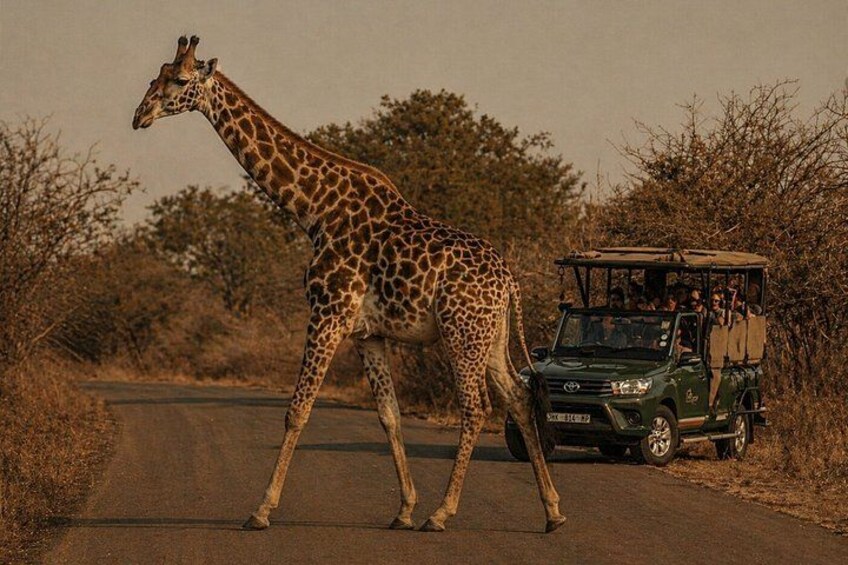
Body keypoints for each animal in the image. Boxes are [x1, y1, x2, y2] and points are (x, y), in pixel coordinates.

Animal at [133, 36, 566, 534]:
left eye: (180, 80)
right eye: (156, 75)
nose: (139, 115)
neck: (314, 209)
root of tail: (510, 282)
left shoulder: (327, 312)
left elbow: (297, 410)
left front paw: (261, 510)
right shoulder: (366, 333)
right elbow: (389, 415)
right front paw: (403, 508)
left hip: (462, 332)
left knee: (476, 407)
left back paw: (442, 513)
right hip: (490, 335)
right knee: (518, 396)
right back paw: (552, 511)